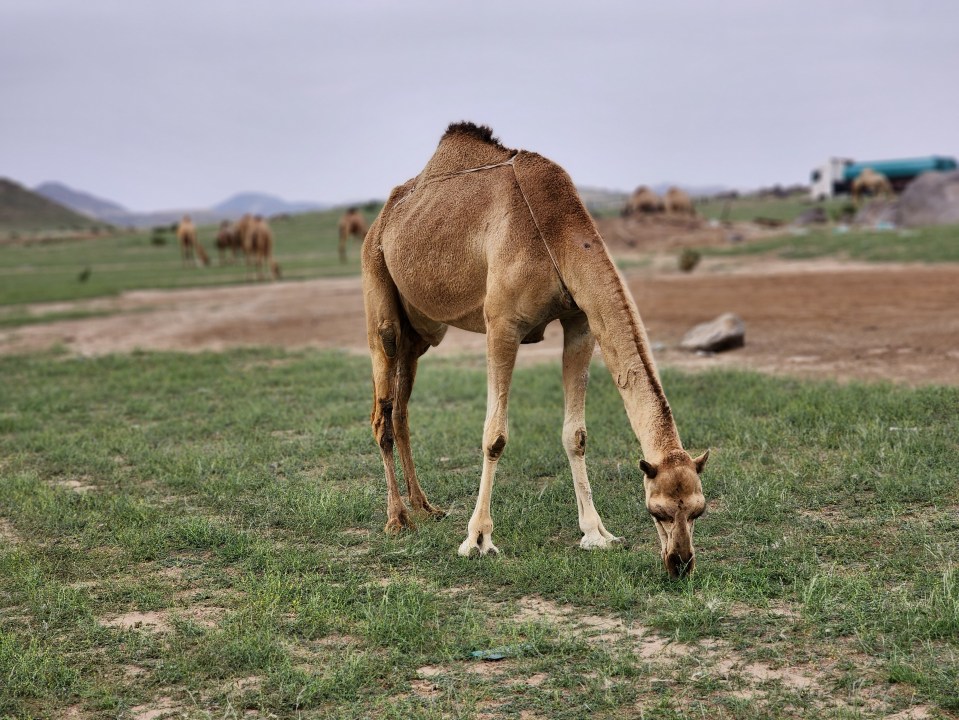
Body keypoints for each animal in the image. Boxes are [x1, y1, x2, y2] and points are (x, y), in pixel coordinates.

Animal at [364, 121, 708, 576]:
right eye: (658, 511)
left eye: (699, 509)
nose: (680, 563)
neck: (556, 233)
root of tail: (380, 223)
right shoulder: (501, 325)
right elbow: (494, 436)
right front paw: (477, 539)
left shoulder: (580, 321)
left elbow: (575, 434)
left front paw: (596, 533)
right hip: (379, 293)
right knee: (382, 411)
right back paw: (397, 519)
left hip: (421, 333)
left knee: (401, 411)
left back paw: (425, 507)